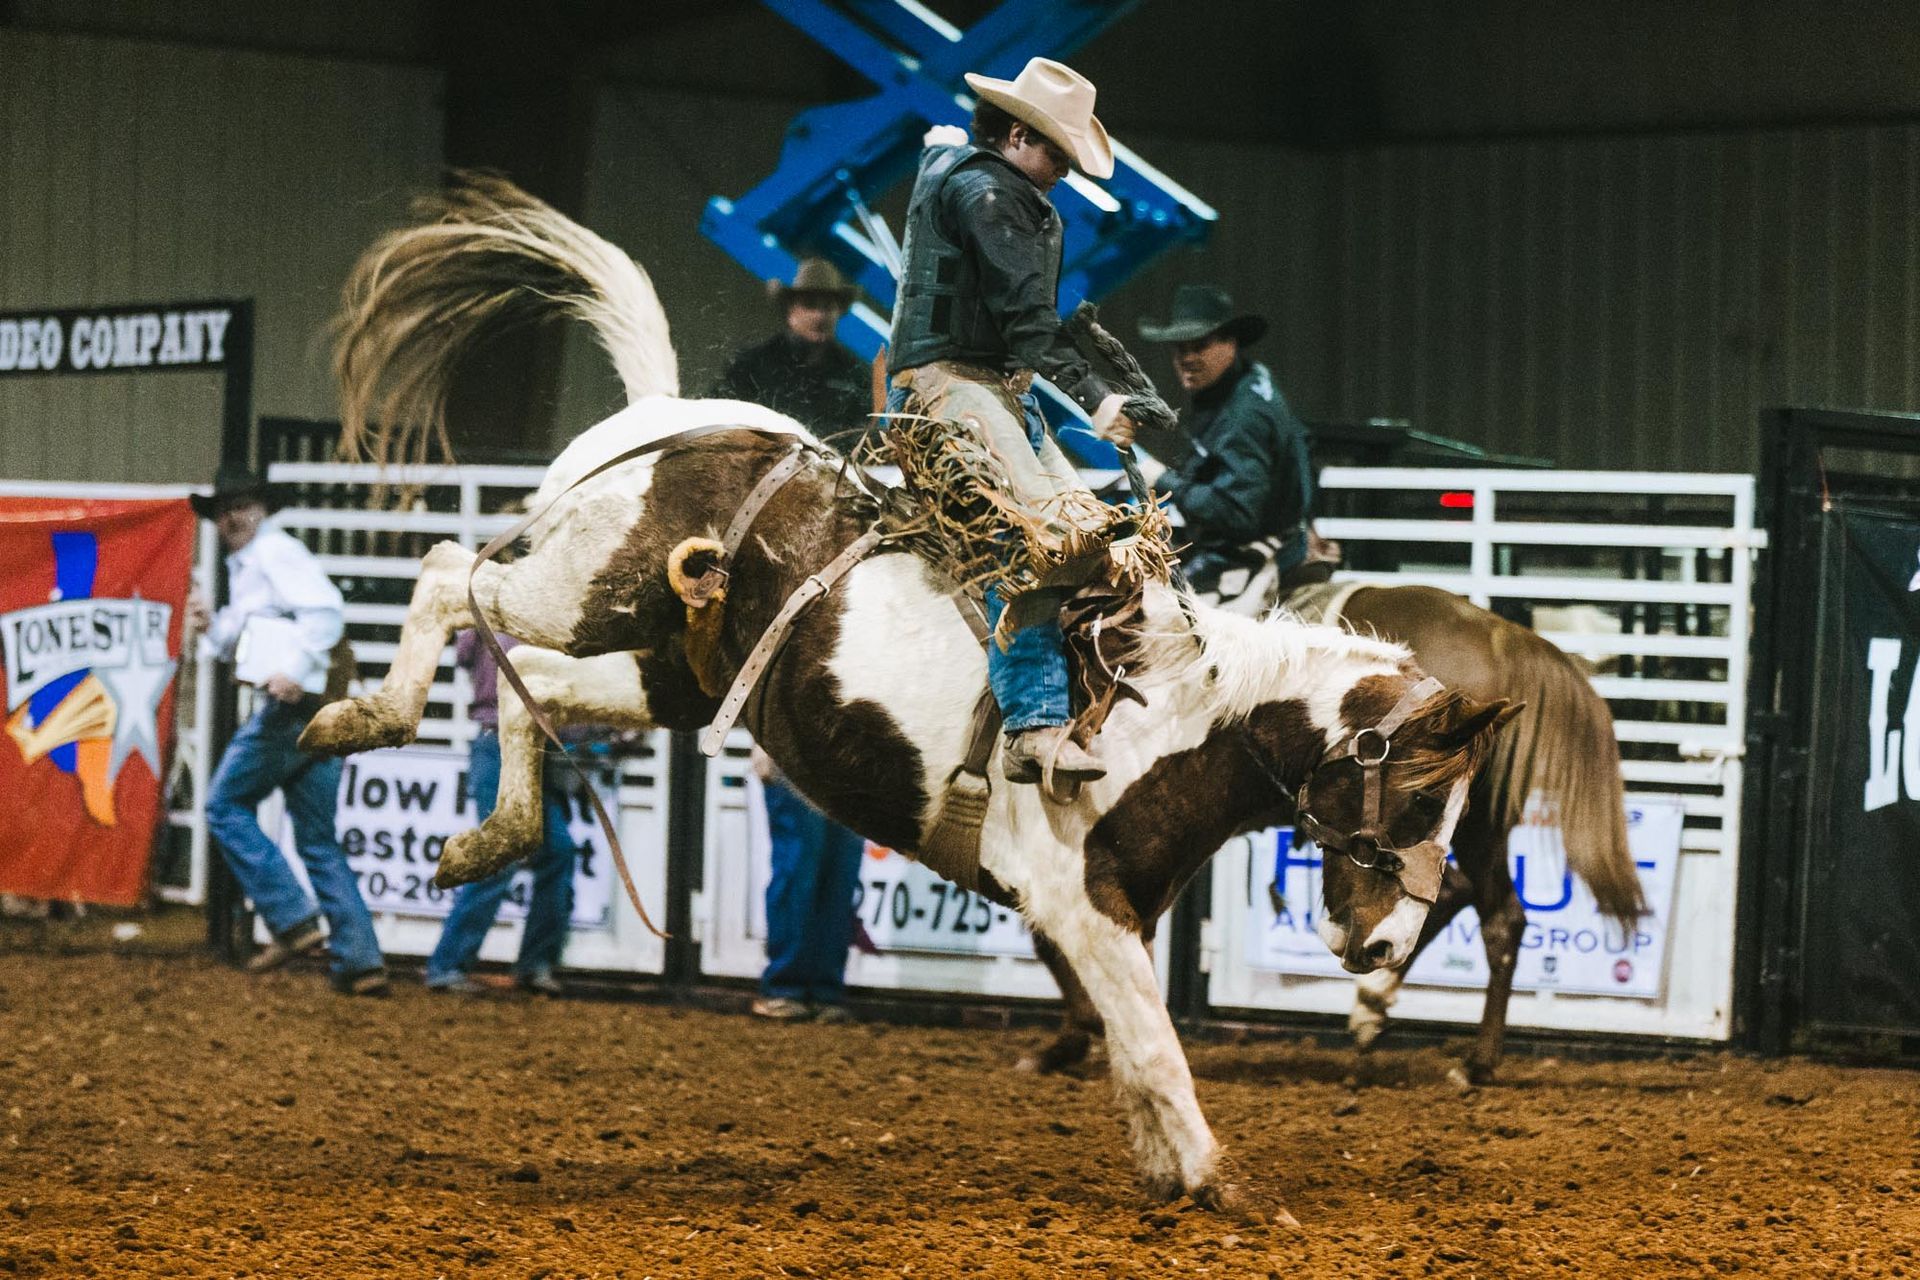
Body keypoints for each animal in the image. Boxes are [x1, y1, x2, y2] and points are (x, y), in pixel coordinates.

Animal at [299, 177, 1505, 1220]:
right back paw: (361, 718)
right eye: (1415, 798)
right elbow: (1157, 1047)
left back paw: (484, 839)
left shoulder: (1121, 913)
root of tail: (662, 419)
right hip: (580, 589)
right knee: (449, 573)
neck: (1174, 712)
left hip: (663, 669)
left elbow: (1135, 1052)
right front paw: (1225, 1186)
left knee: (527, 684)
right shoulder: (1081, 900)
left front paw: (1174, 1170)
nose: (1388, 948)